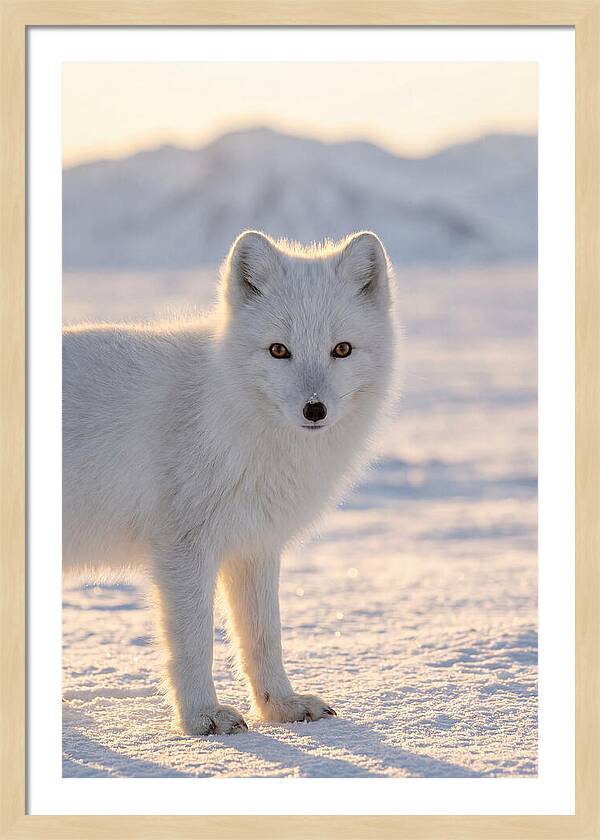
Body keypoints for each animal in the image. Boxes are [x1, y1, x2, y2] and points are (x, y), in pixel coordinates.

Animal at [63, 230, 396, 735]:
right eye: (279, 350)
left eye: (342, 349)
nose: (314, 409)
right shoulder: (183, 548)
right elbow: (194, 642)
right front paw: (202, 717)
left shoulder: (254, 543)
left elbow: (263, 636)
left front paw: (281, 706)